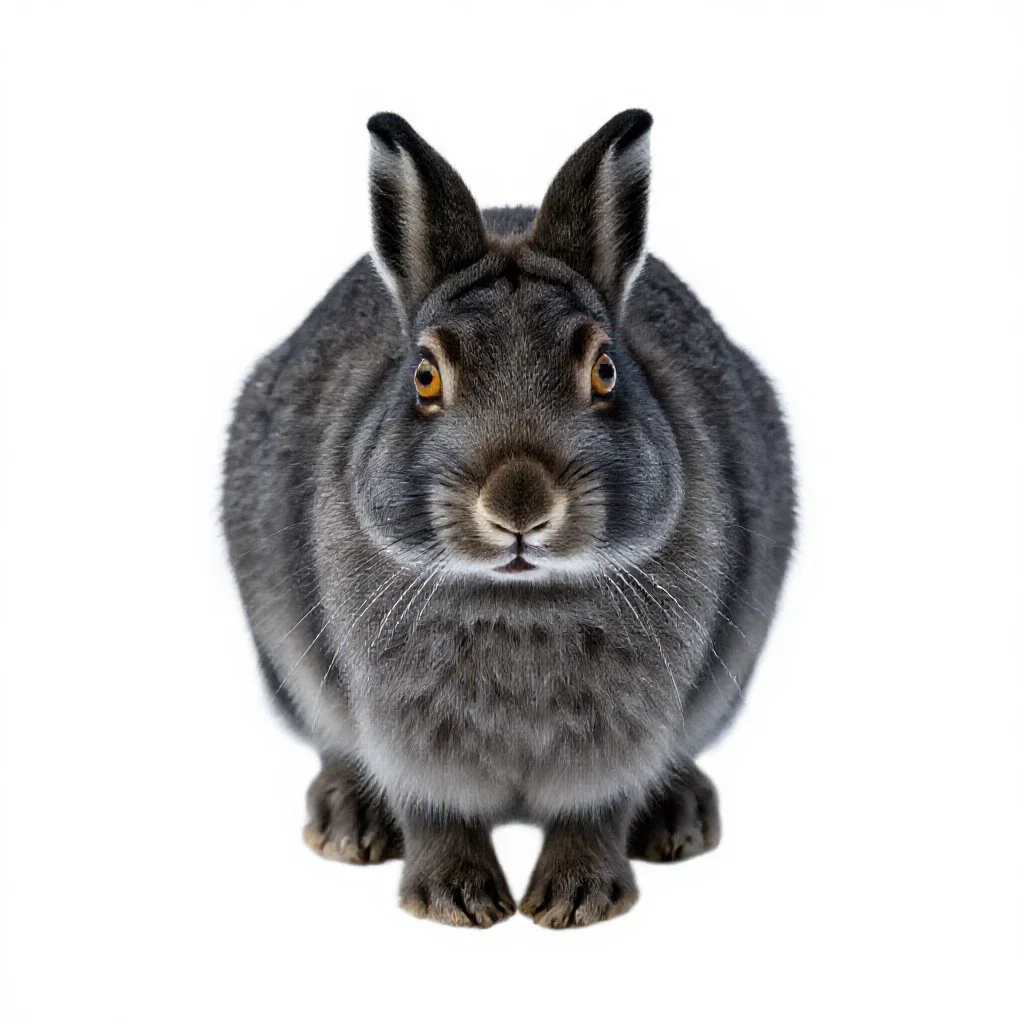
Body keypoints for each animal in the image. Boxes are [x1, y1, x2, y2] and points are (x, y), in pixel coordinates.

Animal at [222, 109, 796, 928]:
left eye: (606, 370)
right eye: (424, 375)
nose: (519, 506)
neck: (518, 597)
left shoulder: (621, 742)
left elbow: (594, 812)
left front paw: (576, 900)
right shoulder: (407, 740)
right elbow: (436, 813)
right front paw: (454, 901)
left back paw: (680, 819)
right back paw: (346, 823)